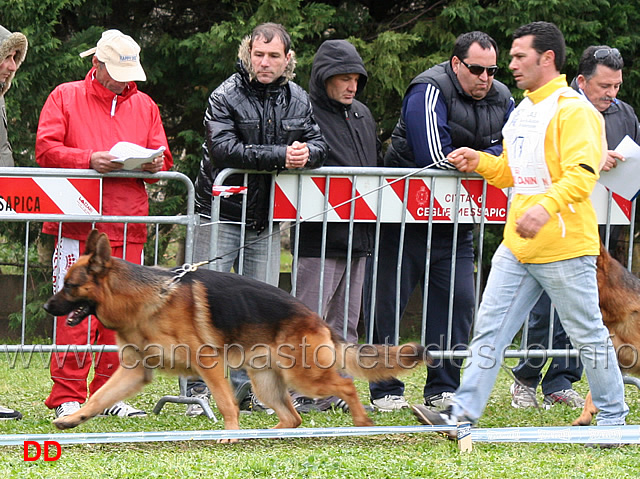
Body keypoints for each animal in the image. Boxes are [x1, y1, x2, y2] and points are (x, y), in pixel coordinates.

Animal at [42, 230, 428, 438]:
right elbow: (98, 398)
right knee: (294, 417)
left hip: (304, 376)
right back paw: (270, 433)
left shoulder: (209, 365)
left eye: (70, 286)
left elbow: (226, 402)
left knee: (345, 386)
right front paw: (74, 418)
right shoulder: (135, 372)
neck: (145, 299)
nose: (46, 307)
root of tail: (316, 318)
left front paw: (229, 434)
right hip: (267, 383)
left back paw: (362, 421)